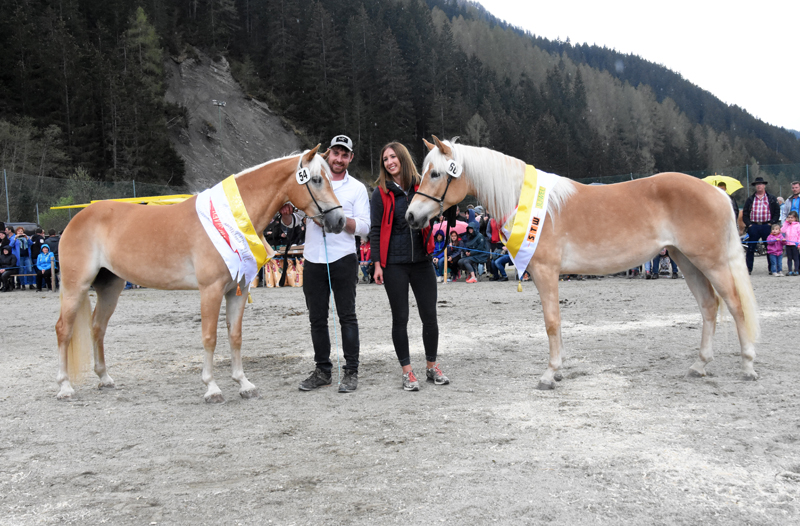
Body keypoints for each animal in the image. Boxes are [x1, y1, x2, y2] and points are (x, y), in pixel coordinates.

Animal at [56, 147, 344, 404]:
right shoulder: (211, 290)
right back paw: (65, 387)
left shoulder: (238, 290)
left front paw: (244, 384)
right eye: (317, 180)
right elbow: (210, 337)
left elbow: (235, 336)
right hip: (75, 286)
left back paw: (104, 378)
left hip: (110, 287)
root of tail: (77, 218)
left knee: (97, 327)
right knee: (64, 329)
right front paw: (212, 388)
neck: (231, 220)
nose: (340, 220)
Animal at [410, 138, 760, 390]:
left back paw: (747, 365)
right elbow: (555, 322)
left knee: (734, 305)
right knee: (709, 305)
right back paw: (699, 366)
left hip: (710, 262)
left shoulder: (545, 272)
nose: (412, 215)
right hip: (686, 261)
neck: (531, 203)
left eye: (436, 173)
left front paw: (550, 374)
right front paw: (559, 371)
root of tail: (715, 192)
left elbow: (551, 322)